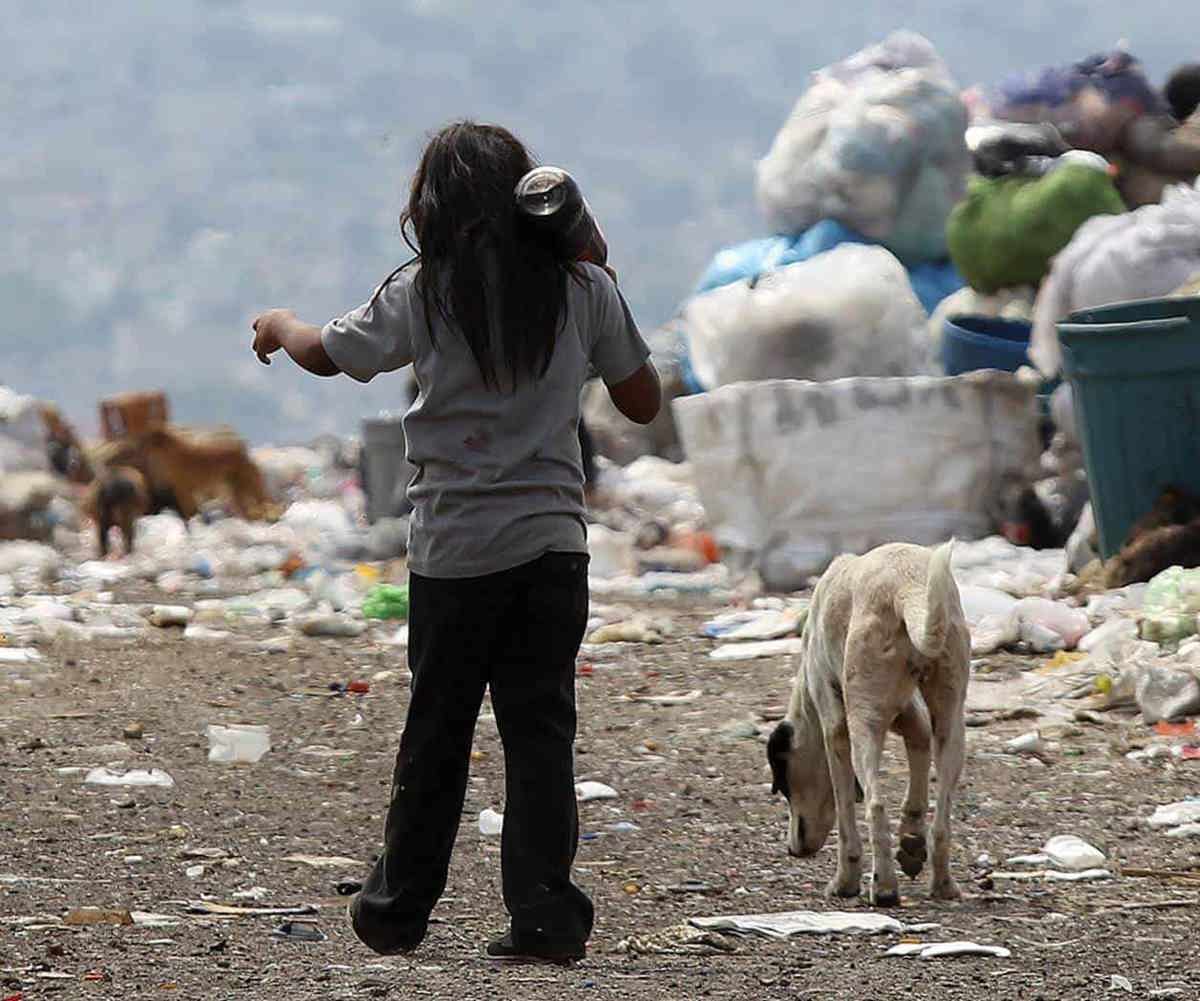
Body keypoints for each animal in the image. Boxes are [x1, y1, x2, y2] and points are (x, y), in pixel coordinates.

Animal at [768, 542, 974, 902]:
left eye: (782, 784)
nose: (792, 849)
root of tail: (907, 586)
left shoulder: (835, 730)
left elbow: (845, 814)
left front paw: (845, 881)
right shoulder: (909, 715)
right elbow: (919, 748)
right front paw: (911, 842)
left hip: (863, 722)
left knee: (876, 805)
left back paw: (884, 887)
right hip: (950, 721)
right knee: (942, 819)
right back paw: (943, 884)